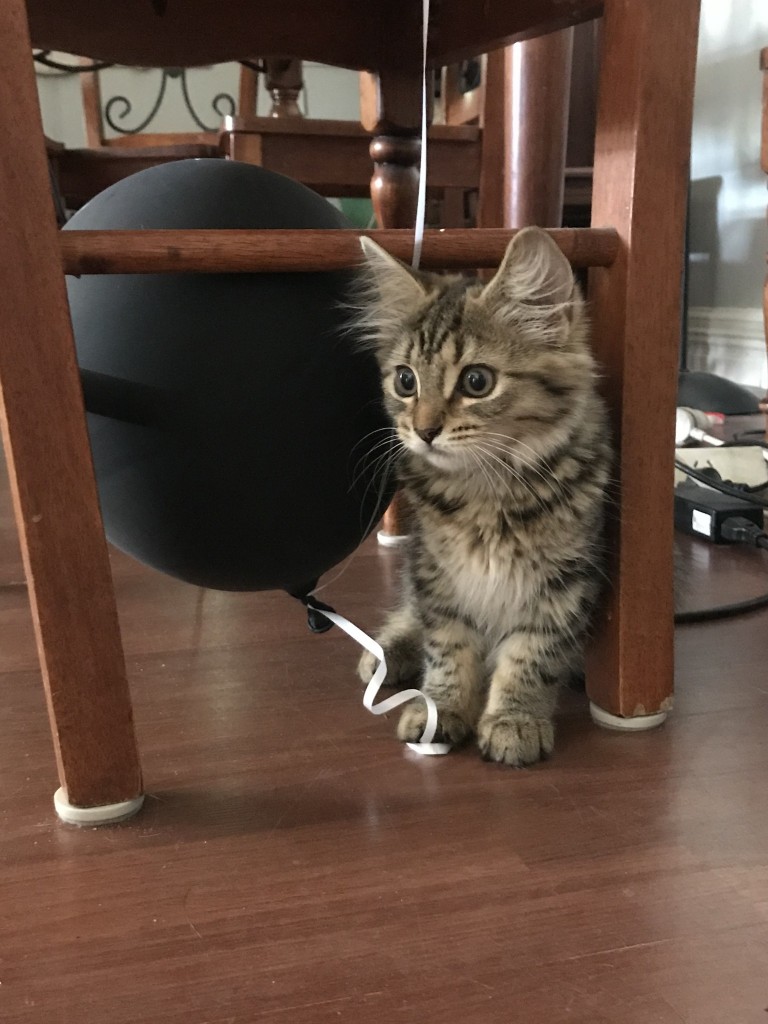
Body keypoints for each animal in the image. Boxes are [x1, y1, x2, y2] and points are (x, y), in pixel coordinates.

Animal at [354, 228, 614, 765]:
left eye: (477, 381)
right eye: (405, 380)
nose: (424, 431)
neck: (486, 491)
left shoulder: (565, 582)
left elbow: (531, 655)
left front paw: (514, 720)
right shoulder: (438, 576)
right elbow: (447, 650)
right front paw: (440, 709)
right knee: (409, 610)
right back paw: (389, 653)